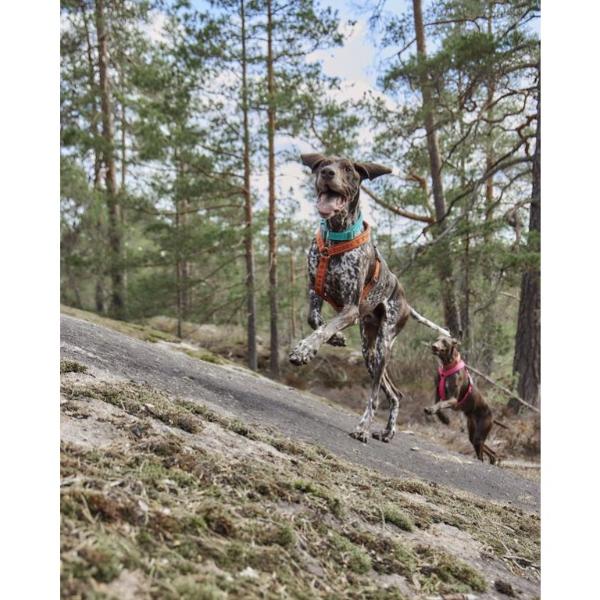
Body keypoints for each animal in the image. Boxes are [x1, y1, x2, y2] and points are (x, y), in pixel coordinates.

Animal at [288, 153, 412, 443]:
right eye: (323, 165)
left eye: (347, 169)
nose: (328, 174)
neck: (335, 235)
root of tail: (406, 301)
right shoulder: (314, 291)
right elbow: (315, 320)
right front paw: (336, 338)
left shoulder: (351, 309)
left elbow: (324, 328)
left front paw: (304, 349)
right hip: (369, 349)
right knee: (394, 393)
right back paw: (387, 431)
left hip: (383, 344)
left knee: (376, 394)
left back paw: (363, 428)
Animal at [424, 335, 497, 464]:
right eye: (437, 339)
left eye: (444, 341)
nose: (434, 346)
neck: (448, 365)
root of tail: (492, 416)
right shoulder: (438, 393)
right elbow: (438, 405)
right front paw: (444, 419)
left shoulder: (453, 400)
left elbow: (440, 404)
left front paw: (436, 413)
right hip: (474, 433)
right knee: (487, 449)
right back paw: (493, 458)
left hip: (481, 432)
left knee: (481, 455)